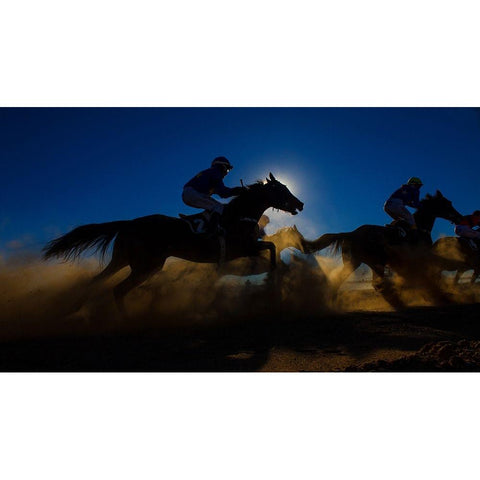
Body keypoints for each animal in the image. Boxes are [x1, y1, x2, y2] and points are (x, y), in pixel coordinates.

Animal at [42, 174, 304, 314]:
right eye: (281, 189)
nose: (300, 204)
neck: (240, 214)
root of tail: (129, 223)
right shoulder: (242, 248)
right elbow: (271, 248)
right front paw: (273, 276)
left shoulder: (246, 250)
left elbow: (271, 249)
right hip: (146, 266)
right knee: (118, 289)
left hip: (124, 259)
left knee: (98, 280)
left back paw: (73, 308)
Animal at [302, 189, 464, 306]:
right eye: (446, 204)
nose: (459, 217)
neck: (419, 226)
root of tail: (350, 233)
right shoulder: (419, 256)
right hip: (373, 262)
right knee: (372, 283)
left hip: (356, 262)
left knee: (350, 280)